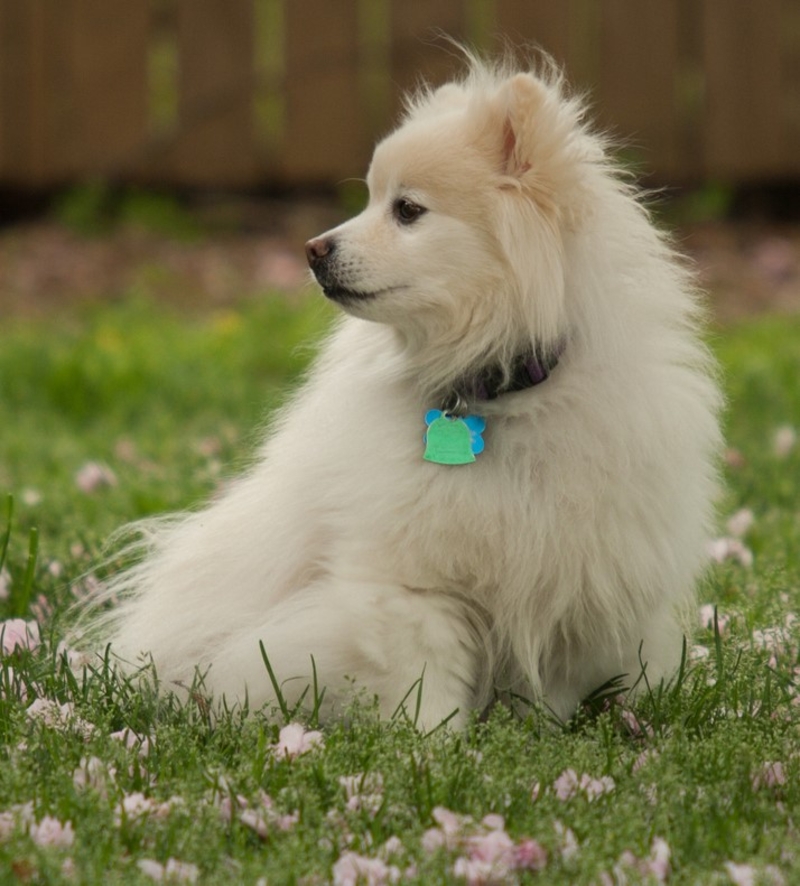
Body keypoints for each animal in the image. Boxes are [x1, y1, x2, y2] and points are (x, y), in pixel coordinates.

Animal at [86, 53, 720, 728]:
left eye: (408, 210)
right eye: (370, 200)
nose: (312, 249)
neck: (494, 392)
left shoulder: (571, 575)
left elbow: (547, 686)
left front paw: (532, 736)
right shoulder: (409, 584)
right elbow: (426, 678)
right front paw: (434, 741)